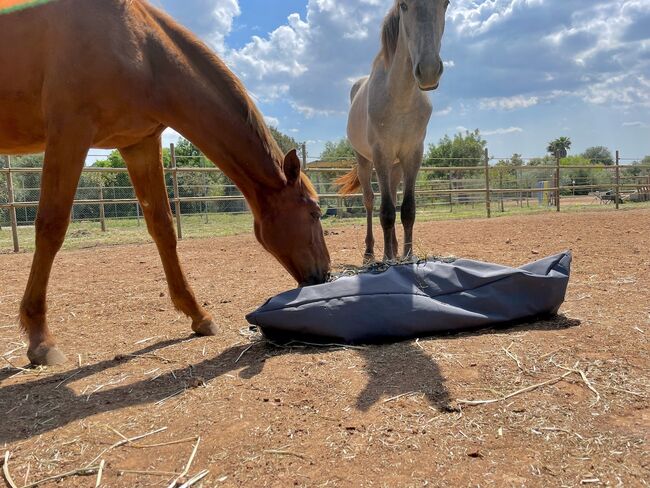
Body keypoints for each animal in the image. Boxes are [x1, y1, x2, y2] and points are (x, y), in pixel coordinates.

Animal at [1, 0, 330, 366]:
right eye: (314, 212)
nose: (326, 274)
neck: (142, 51)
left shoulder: (139, 144)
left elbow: (163, 228)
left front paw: (198, 315)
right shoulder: (69, 132)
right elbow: (51, 227)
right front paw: (39, 339)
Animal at [336, 0, 448, 264]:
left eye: (446, 4)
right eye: (404, 5)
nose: (429, 70)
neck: (400, 98)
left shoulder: (413, 154)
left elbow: (407, 209)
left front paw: (407, 256)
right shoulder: (381, 155)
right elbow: (385, 211)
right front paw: (387, 259)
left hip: (396, 165)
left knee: (394, 200)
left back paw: (395, 249)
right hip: (365, 161)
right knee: (369, 201)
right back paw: (370, 253)